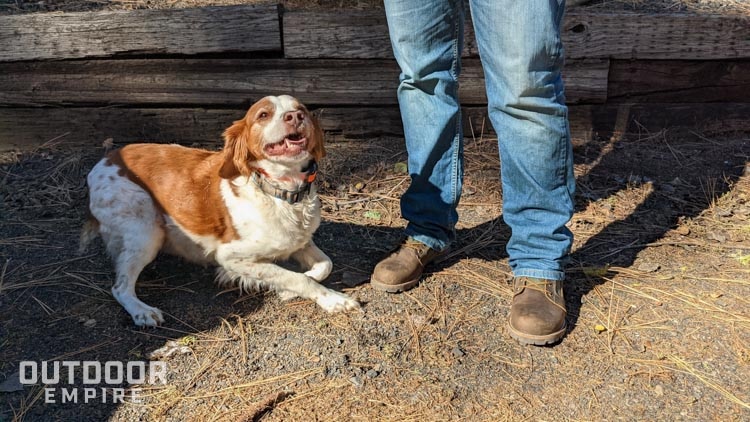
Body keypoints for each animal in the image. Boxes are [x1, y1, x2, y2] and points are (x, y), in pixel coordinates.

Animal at [81, 95, 362, 326]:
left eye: (301, 109)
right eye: (263, 114)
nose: (295, 117)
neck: (281, 192)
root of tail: (105, 160)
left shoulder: (300, 241)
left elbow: (324, 265)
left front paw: (291, 289)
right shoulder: (230, 255)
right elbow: (296, 278)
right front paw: (333, 300)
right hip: (147, 230)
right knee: (120, 287)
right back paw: (142, 311)